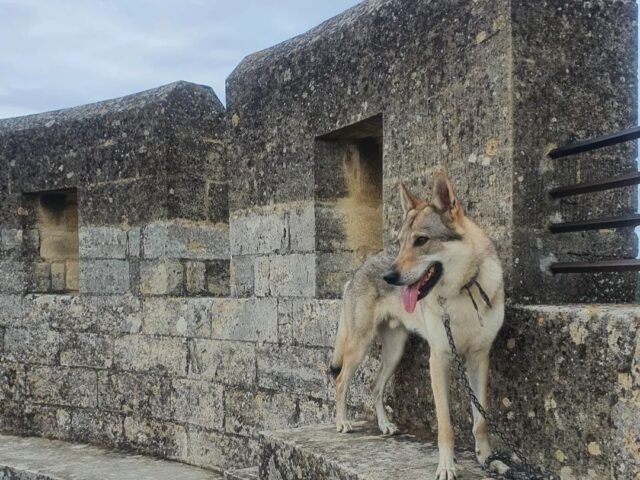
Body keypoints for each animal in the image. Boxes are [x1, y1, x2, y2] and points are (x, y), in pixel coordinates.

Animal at [332, 171, 508, 478]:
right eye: (402, 242)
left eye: (421, 240)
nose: (389, 277)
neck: (461, 291)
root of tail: (357, 271)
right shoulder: (439, 359)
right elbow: (446, 426)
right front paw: (447, 466)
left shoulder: (479, 358)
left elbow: (480, 420)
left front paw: (487, 460)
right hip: (359, 348)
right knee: (341, 381)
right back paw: (342, 422)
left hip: (394, 352)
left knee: (375, 386)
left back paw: (385, 425)